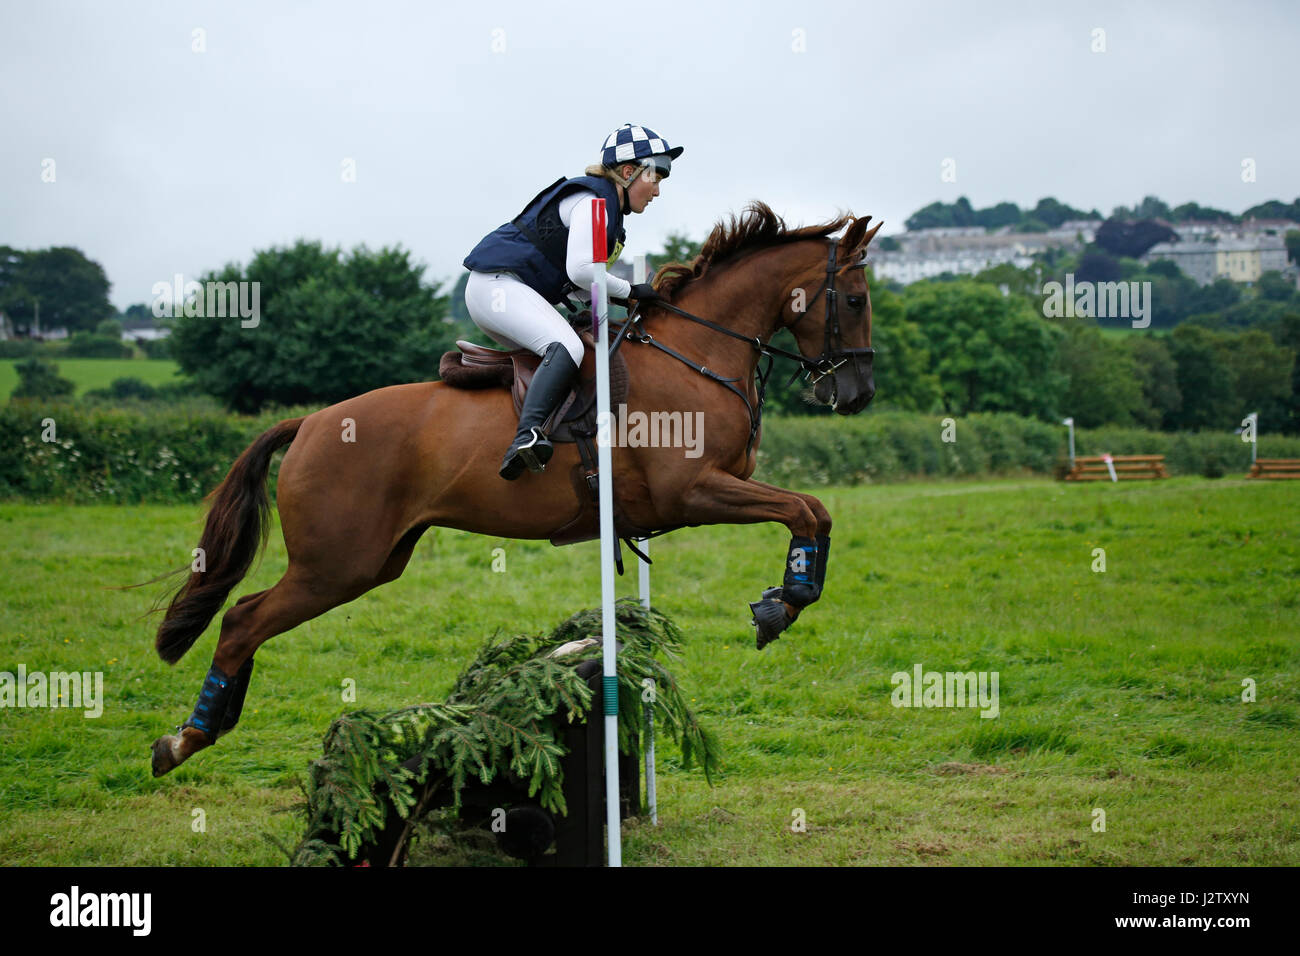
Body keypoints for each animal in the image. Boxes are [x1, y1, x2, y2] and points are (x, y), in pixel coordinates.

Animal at [149, 201, 882, 776]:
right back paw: (186, 739)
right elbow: (803, 511)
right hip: (336, 563)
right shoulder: (694, 492)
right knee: (243, 620)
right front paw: (784, 604)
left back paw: (206, 725)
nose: (857, 393)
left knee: (248, 619)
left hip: (375, 560)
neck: (696, 355)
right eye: (854, 300)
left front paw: (782, 599)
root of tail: (311, 423)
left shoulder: (714, 489)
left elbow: (814, 512)